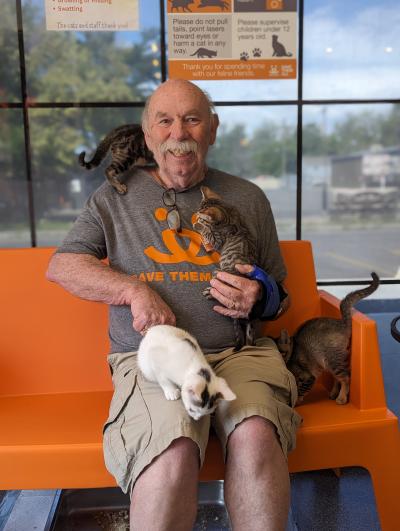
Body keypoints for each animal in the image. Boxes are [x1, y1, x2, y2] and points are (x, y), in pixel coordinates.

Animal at [192, 188, 258, 354]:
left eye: (202, 216)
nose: (197, 215)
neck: (230, 215)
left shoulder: (217, 240)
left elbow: (208, 233)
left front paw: (199, 225)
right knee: (249, 337)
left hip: (219, 274)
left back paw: (210, 292)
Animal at [276, 272, 380, 406]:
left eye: (281, 352)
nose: (279, 361)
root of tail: (341, 322)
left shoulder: (308, 375)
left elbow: (300, 391)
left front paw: (296, 402)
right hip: (329, 364)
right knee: (337, 379)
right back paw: (333, 393)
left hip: (332, 360)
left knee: (345, 377)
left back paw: (341, 398)